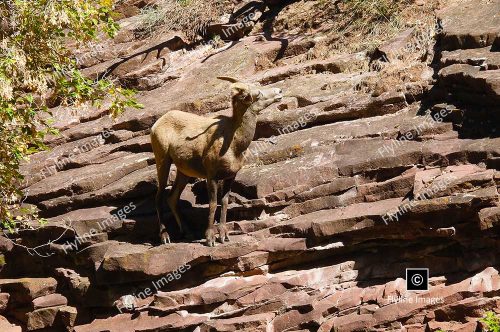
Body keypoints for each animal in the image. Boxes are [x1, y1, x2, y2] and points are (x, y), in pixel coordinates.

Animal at [149, 77, 282, 246]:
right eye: (257, 94)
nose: (279, 91)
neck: (233, 144)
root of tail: (157, 124)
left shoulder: (230, 176)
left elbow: (224, 202)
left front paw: (224, 236)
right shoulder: (211, 176)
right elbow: (212, 204)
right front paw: (210, 239)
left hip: (183, 172)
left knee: (172, 198)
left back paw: (188, 233)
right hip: (162, 161)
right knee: (158, 197)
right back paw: (165, 237)